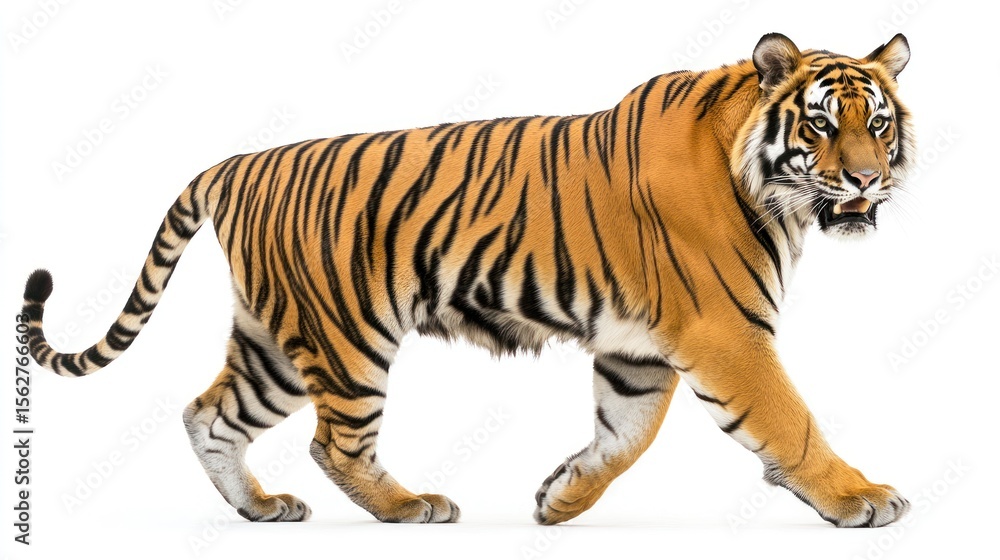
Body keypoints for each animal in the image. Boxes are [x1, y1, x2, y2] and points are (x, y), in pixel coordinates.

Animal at [21, 32, 914, 527]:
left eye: (878, 123)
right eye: (821, 126)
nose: (867, 181)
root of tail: (238, 162)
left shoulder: (639, 349)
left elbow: (625, 435)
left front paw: (561, 498)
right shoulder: (725, 333)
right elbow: (791, 423)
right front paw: (860, 498)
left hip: (275, 340)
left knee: (209, 414)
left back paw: (260, 509)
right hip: (345, 335)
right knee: (333, 443)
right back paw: (409, 507)